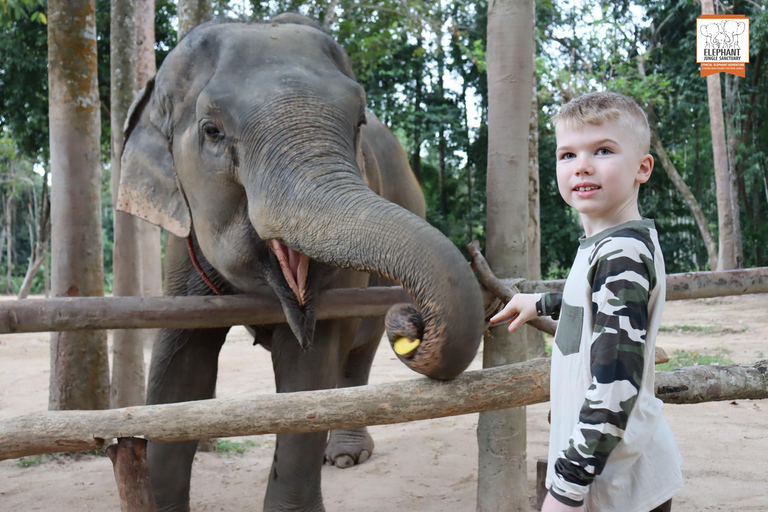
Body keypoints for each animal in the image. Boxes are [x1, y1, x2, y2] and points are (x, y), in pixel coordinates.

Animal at [117, 14, 484, 512]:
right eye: (211, 131)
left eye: (358, 121)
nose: (416, 322)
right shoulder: (181, 244)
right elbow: (180, 371)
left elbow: (309, 373)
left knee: (360, 348)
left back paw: (345, 455)